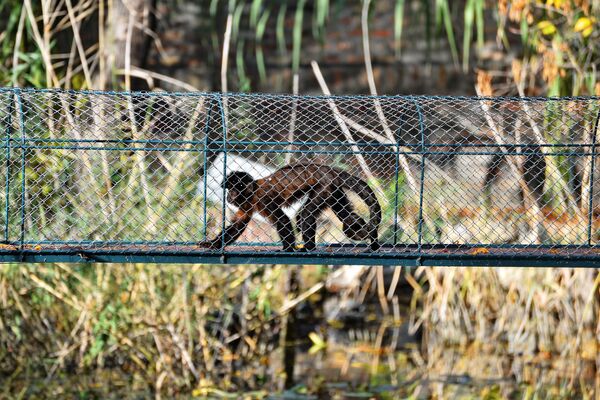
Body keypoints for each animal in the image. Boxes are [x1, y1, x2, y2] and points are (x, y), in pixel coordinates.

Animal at [199, 163, 382, 252]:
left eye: (233, 190)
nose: (228, 196)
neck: (252, 192)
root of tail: (331, 171)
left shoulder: (262, 199)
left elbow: (282, 220)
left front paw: (287, 249)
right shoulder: (248, 203)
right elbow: (238, 225)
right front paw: (212, 245)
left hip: (324, 186)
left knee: (306, 215)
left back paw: (308, 248)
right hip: (334, 190)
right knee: (345, 216)